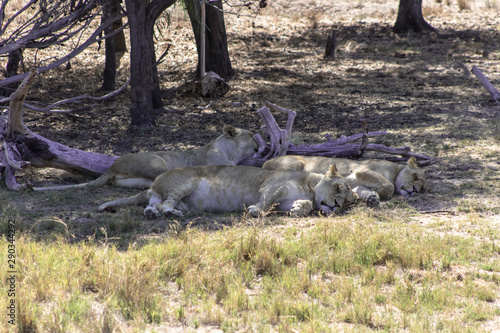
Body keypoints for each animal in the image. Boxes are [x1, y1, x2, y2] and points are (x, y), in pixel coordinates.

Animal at [260, 155, 428, 206]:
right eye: (415, 176)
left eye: (422, 188)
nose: (415, 190)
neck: (395, 170)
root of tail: (265, 162)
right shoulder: (363, 170)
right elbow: (389, 186)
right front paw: (378, 192)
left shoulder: (357, 184)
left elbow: (361, 190)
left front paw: (371, 197)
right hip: (295, 164)